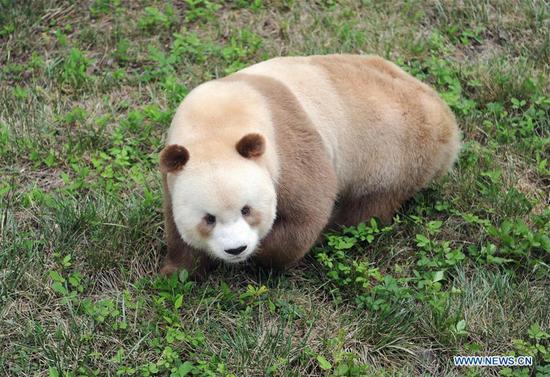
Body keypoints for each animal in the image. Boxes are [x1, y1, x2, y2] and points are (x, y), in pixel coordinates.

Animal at [160, 53, 462, 276]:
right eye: (208, 218)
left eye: (247, 210)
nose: (237, 249)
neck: (215, 125)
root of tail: (448, 124)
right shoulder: (173, 172)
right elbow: (175, 225)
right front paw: (177, 271)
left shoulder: (287, 145)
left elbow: (307, 210)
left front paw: (263, 254)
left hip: (394, 155)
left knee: (368, 208)